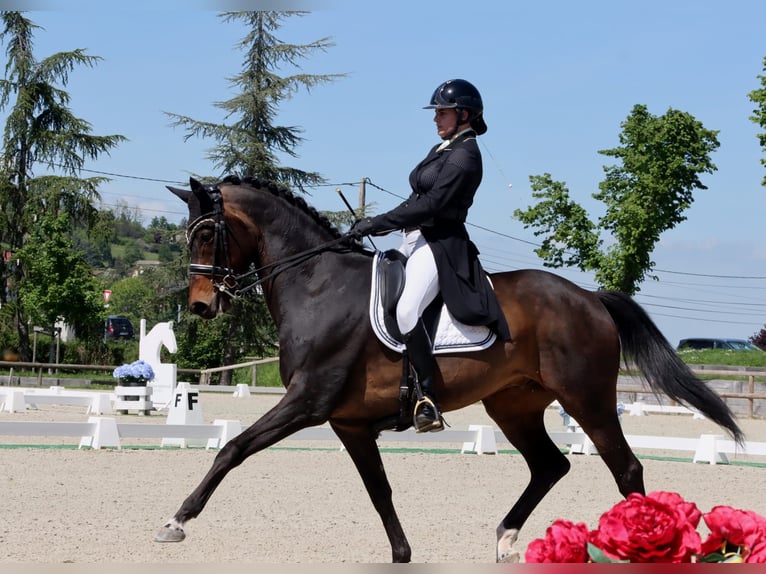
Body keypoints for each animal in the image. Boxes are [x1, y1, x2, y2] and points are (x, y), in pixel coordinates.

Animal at [157, 175, 743, 563]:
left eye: (207, 234)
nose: (202, 306)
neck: (317, 285)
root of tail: (589, 297)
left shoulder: (307, 402)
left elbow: (232, 449)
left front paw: (176, 521)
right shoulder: (348, 423)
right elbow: (379, 491)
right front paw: (401, 555)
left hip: (588, 399)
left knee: (627, 471)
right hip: (513, 404)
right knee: (550, 466)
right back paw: (505, 538)